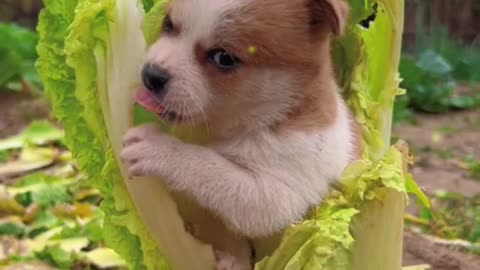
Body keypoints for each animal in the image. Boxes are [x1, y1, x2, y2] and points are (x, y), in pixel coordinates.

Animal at [122, 0, 358, 268]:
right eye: (168, 24)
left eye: (224, 58)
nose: (151, 74)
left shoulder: (280, 196)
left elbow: (210, 166)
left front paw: (160, 148)